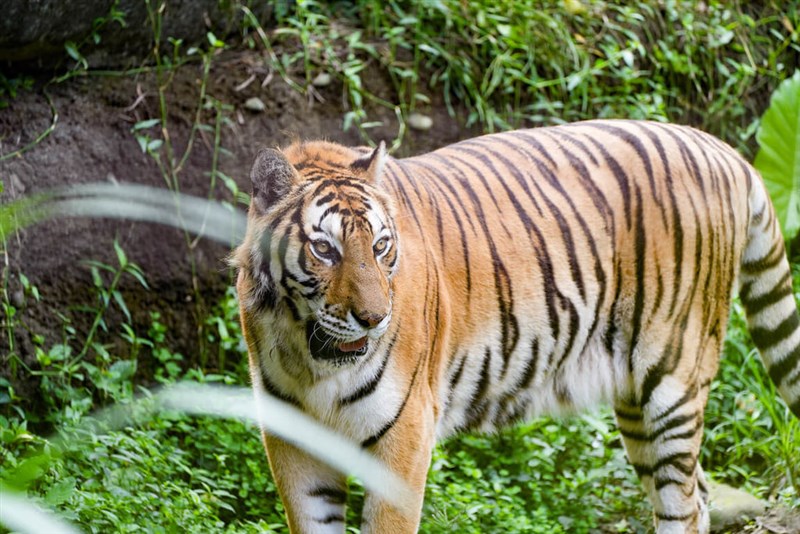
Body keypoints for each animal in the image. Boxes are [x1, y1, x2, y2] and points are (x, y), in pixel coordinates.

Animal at [233, 121, 800, 534]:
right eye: (324, 248)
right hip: (637, 404)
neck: (312, 359)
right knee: (697, 494)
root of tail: (722, 149)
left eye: (380, 246)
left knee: (684, 504)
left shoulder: (405, 434)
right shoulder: (291, 439)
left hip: (672, 380)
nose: (372, 319)